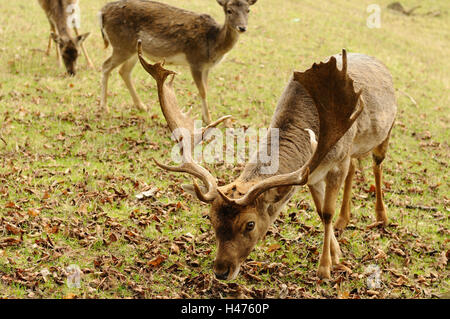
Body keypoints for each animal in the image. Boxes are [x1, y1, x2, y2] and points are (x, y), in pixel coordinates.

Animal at [100, 0, 258, 124]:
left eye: (248, 10)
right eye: (229, 10)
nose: (242, 27)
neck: (213, 44)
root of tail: (102, 12)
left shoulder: (207, 67)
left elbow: (206, 89)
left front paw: (205, 117)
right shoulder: (195, 61)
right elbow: (202, 91)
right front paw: (209, 120)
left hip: (133, 50)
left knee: (124, 71)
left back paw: (141, 106)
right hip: (121, 45)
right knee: (105, 66)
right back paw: (104, 107)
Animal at [138, 48, 398, 282]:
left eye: (250, 224)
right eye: (210, 218)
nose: (221, 272)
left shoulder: (337, 161)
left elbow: (326, 213)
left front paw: (324, 269)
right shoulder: (312, 173)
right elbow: (320, 212)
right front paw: (336, 254)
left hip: (386, 131)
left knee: (377, 164)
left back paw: (382, 216)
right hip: (354, 149)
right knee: (355, 167)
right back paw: (345, 220)